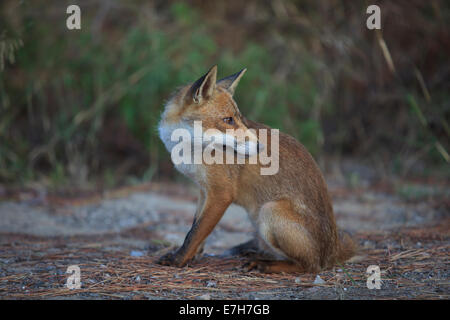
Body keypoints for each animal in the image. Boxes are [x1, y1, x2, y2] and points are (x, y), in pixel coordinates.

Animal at [158, 65, 356, 272]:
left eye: (240, 118)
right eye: (228, 120)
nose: (262, 147)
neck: (189, 151)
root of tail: (333, 252)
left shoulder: (221, 193)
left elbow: (194, 233)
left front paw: (178, 260)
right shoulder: (204, 190)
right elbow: (196, 229)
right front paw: (193, 257)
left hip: (270, 211)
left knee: (308, 266)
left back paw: (264, 264)